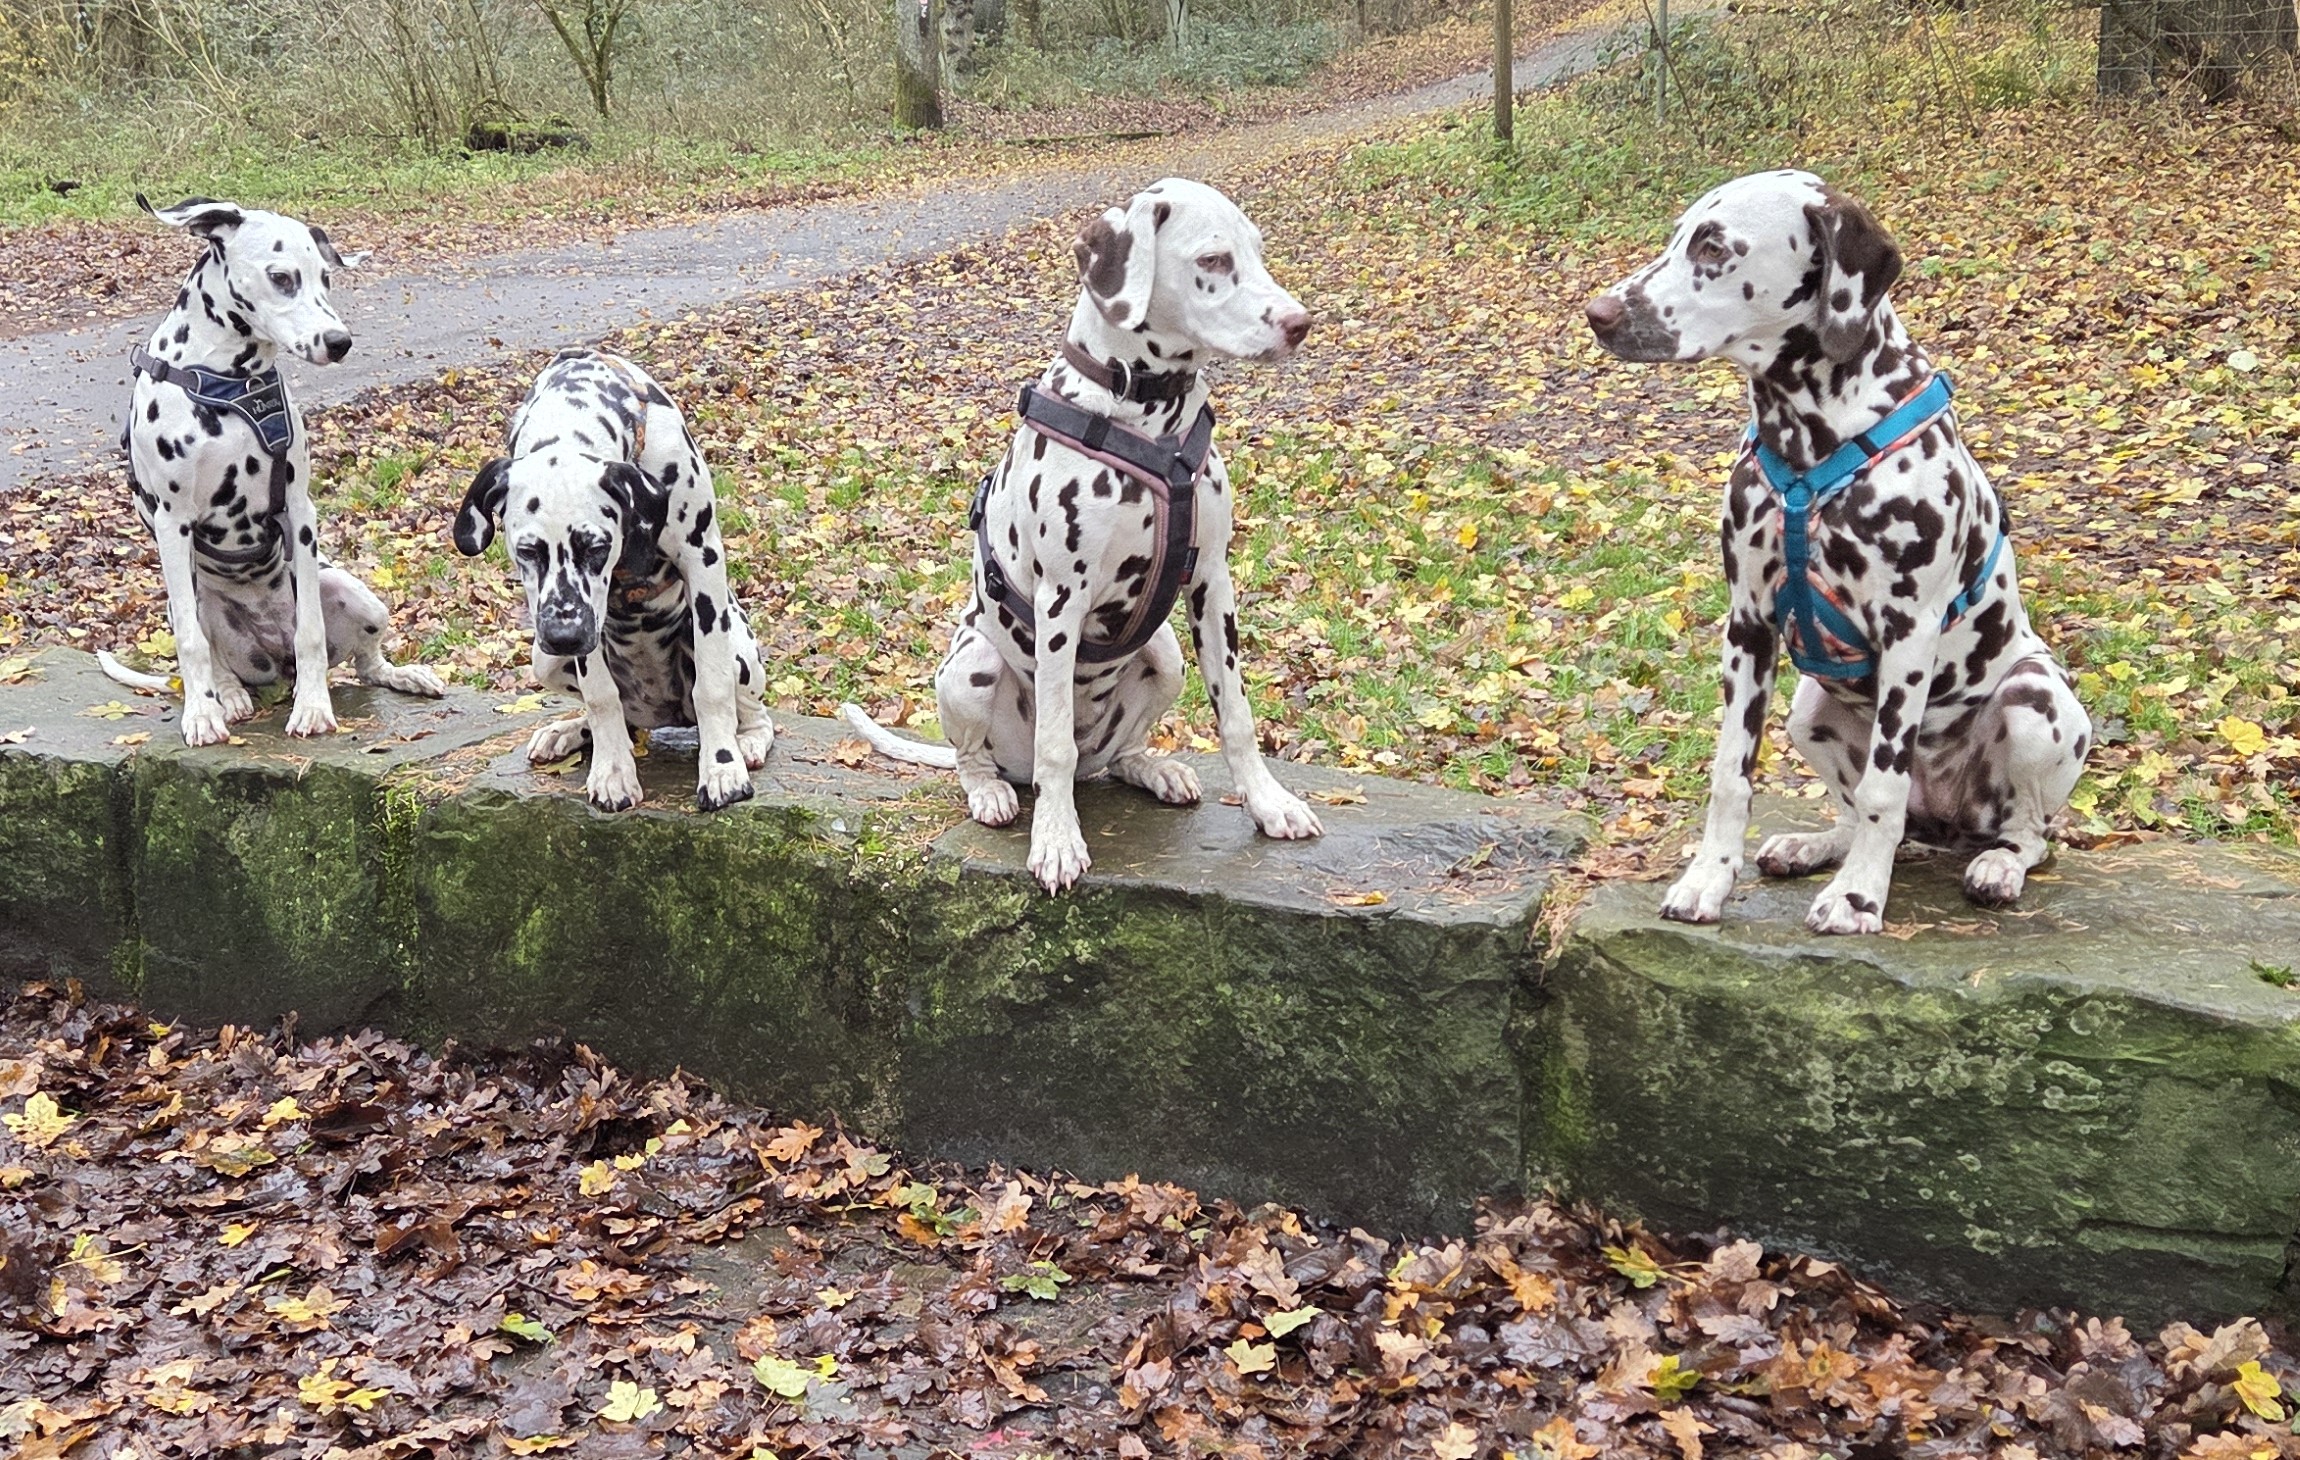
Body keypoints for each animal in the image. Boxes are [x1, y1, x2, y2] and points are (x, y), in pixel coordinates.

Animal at [105, 195, 443, 742]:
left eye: (326, 277)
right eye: (282, 277)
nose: (339, 341)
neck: (228, 383)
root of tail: (273, 662)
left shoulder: (300, 514)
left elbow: (310, 632)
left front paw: (313, 707)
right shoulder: (173, 524)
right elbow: (192, 645)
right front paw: (201, 715)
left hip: (353, 591)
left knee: (366, 664)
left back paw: (402, 675)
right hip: (190, 602)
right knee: (209, 652)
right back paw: (228, 697)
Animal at [454, 349, 772, 812]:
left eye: (596, 547)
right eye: (527, 551)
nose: (564, 637)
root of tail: (662, 716)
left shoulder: (702, 559)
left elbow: (712, 687)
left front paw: (721, 768)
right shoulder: (586, 628)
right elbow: (601, 696)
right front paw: (612, 771)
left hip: (736, 645)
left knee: (753, 712)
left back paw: (746, 742)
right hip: (542, 659)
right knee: (615, 716)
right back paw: (569, 731)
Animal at [840, 177, 1323, 893]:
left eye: (1258, 252)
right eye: (1212, 260)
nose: (1299, 324)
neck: (1145, 421)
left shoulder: (1212, 584)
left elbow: (1235, 714)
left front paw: (1269, 804)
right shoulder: (1061, 600)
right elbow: (1056, 748)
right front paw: (1057, 840)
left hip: (1167, 656)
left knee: (1112, 756)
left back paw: (1152, 766)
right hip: (972, 665)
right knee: (992, 760)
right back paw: (992, 791)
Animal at [1585, 169, 2089, 935]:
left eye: (1712, 247)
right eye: (1677, 237)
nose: (1598, 312)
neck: (1811, 446)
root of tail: (1945, 822)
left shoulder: (1909, 636)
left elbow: (1885, 784)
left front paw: (1857, 899)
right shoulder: (1747, 625)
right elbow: (1731, 776)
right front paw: (1708, 880)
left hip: (2036, 701)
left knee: (2026, 832)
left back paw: (1995, 865)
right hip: (1809, 710)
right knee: (1858, 819)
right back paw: (1814, 846)